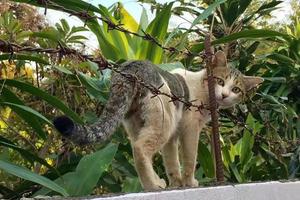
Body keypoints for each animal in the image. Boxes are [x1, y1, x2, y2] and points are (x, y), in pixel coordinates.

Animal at [53, 51, 262, 191]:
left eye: (236, 90)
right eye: (220, 81)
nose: (225, 95)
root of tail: (133, 65)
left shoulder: (173, 136)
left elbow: (171, 162)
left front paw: (176, 183)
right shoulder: (190, 129)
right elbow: (189, 158)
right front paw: (189, 182)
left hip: (141, 123)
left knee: (140, 147)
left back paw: (157, 182)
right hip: (163, 123)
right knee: (140, 149)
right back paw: (151, 184)